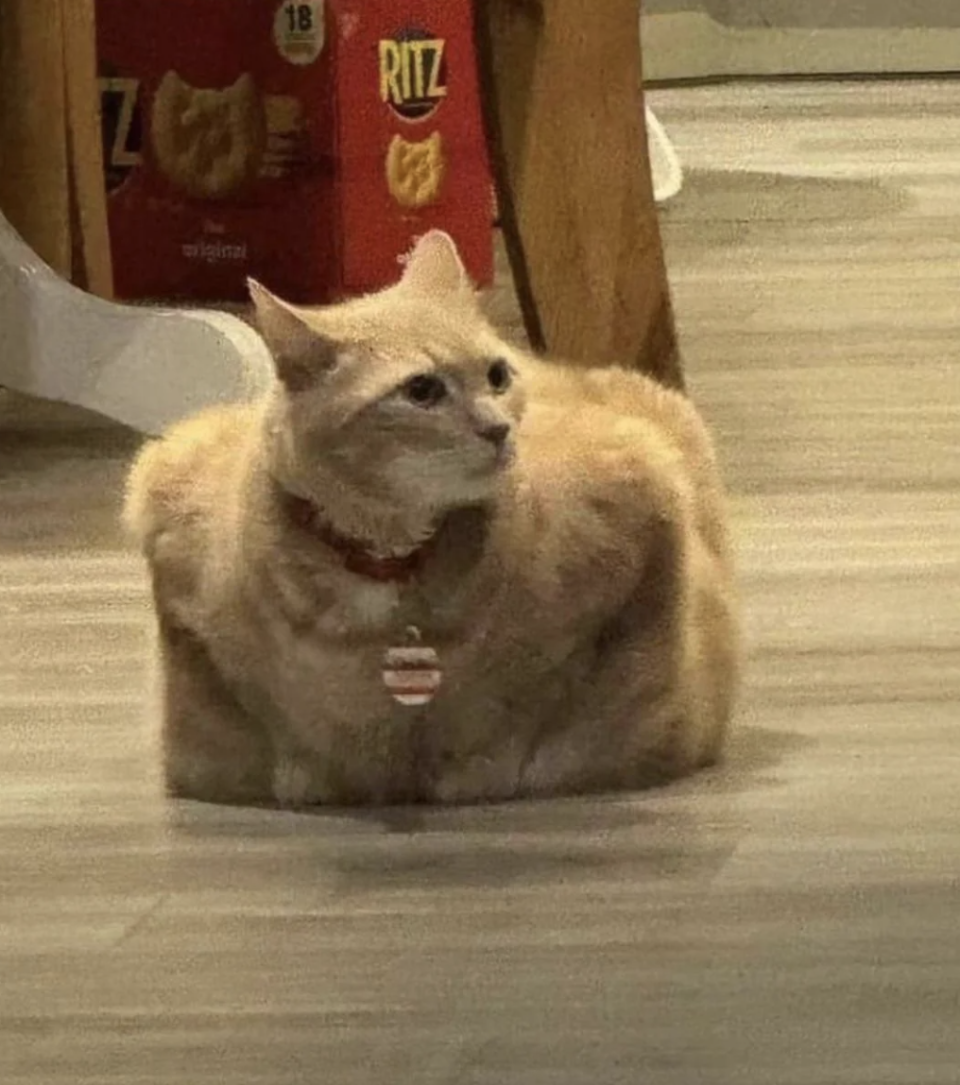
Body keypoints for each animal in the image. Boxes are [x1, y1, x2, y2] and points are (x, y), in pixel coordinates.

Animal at [125, 231, 741, 807]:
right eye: (421, 390)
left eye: (496, 375)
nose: (498, 428)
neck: (391, 567)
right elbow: (274, 729)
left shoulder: (642, 493)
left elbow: (540, 705)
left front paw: (479, 765)